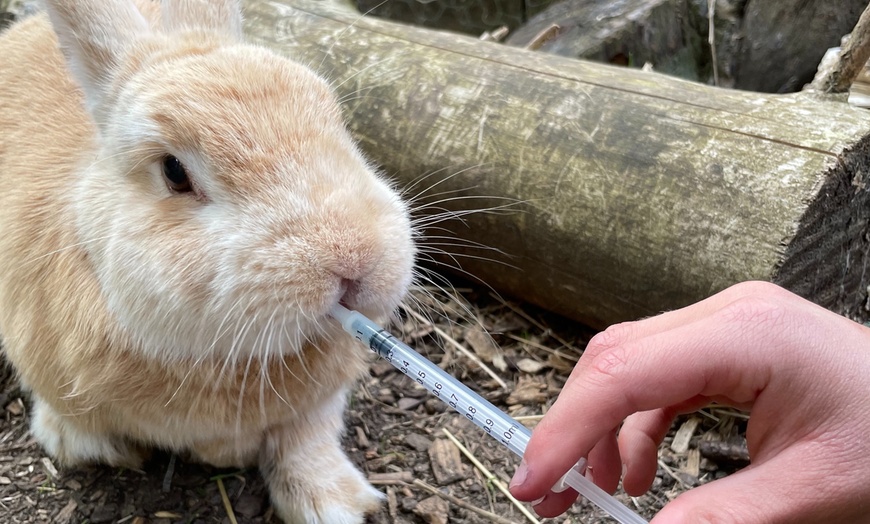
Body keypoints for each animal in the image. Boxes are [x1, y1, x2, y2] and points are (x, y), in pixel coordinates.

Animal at [0, 2, 418, 520]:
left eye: (336, 119)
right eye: (174, 172)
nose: (356, 260)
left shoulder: (320, 403)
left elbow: (306, 438)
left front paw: (333, 503)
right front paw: (91, 444)